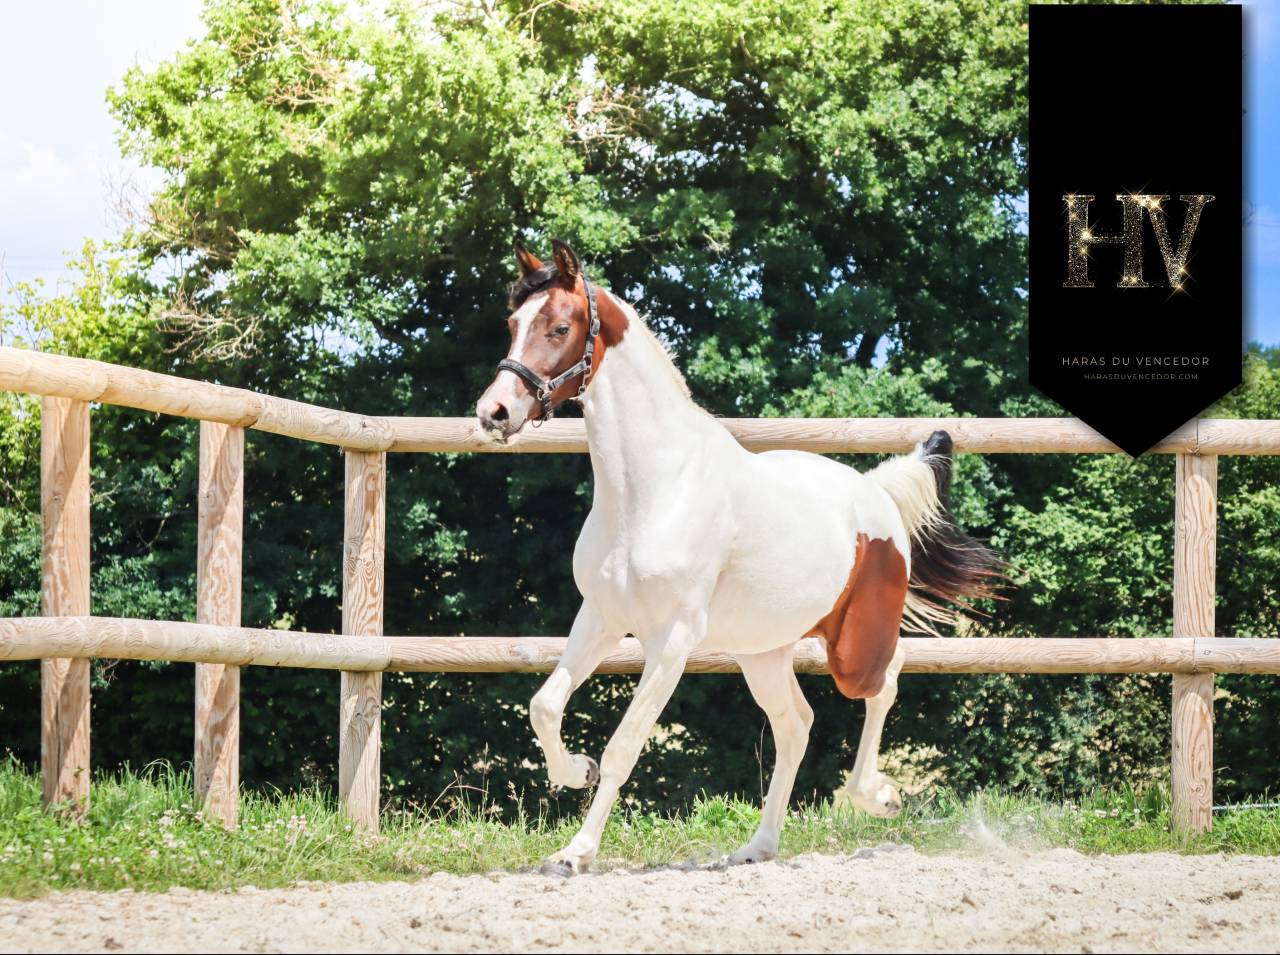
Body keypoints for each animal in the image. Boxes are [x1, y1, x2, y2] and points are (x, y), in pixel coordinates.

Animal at [474, 239, 1003, 874]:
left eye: (559, 326)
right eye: (512, 324)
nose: (494, 412)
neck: (654, 488)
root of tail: (877, 493)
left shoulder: (672, 641)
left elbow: (625, 744)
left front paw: (576, 852)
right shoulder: (601, 618)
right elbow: (545, 706)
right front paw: (577, 771)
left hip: (853, 648)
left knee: (887, 680)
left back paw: (877, 797)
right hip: (763, 650)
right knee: (796, 724)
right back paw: (758, 846)